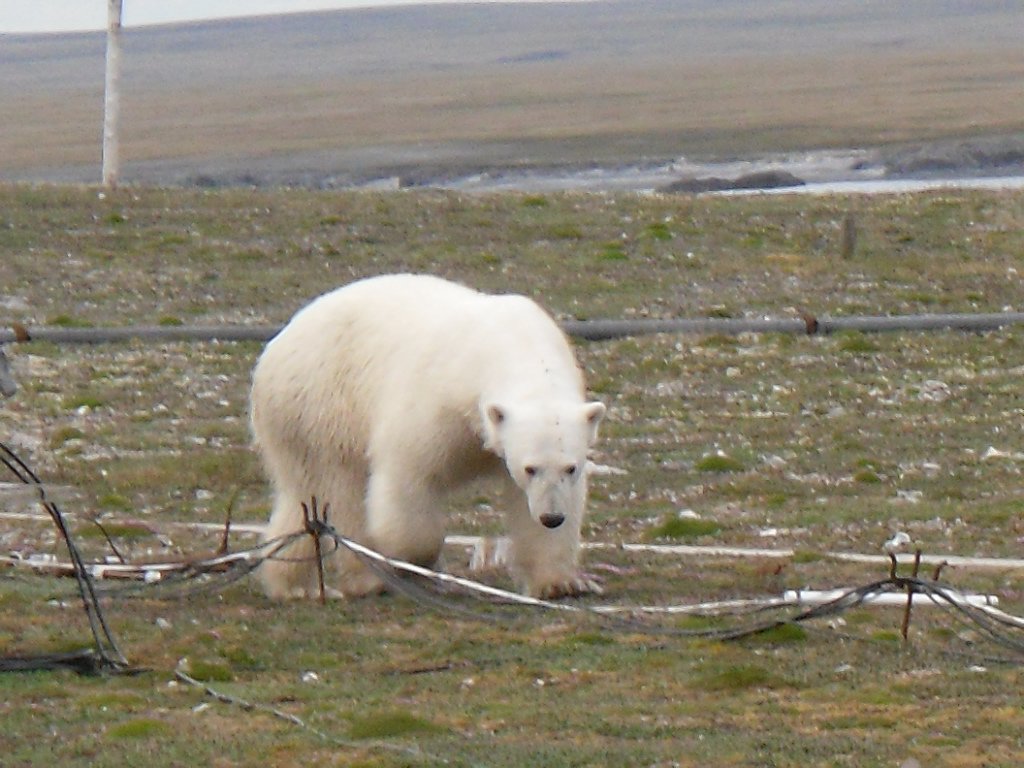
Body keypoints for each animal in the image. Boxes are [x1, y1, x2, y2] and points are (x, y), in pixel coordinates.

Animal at [250, 274, 602, 602]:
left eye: (571, 467)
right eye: (530, 468)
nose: (551, 517)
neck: (511, 344)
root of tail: (275, 348)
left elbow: (534, 504)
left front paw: (561, 583)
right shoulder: (437, 401)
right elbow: (409, 476)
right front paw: (417, 562)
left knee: (302, 493)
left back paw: (293, 585)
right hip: (323, 405)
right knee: (343, 489)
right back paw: (367, 580)